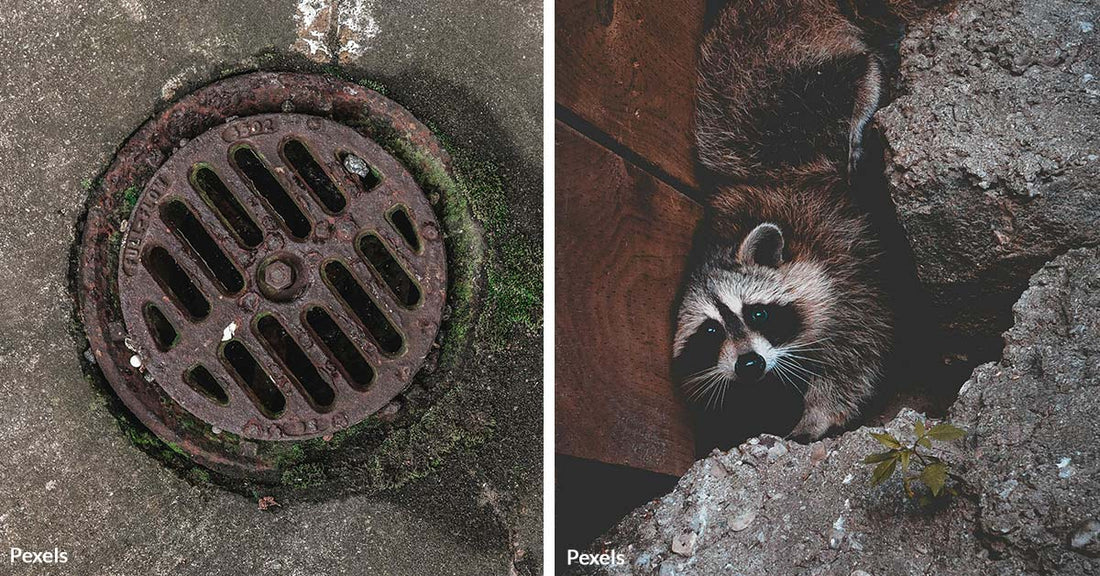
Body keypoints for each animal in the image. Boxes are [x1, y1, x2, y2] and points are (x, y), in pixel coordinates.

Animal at [672, 0, 914, 445]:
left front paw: (818, 413)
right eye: (710, 332)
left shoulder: (847, 259)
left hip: (781, 79)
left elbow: (860, 344)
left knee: (836, 81)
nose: (749, 365)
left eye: (757, 314)